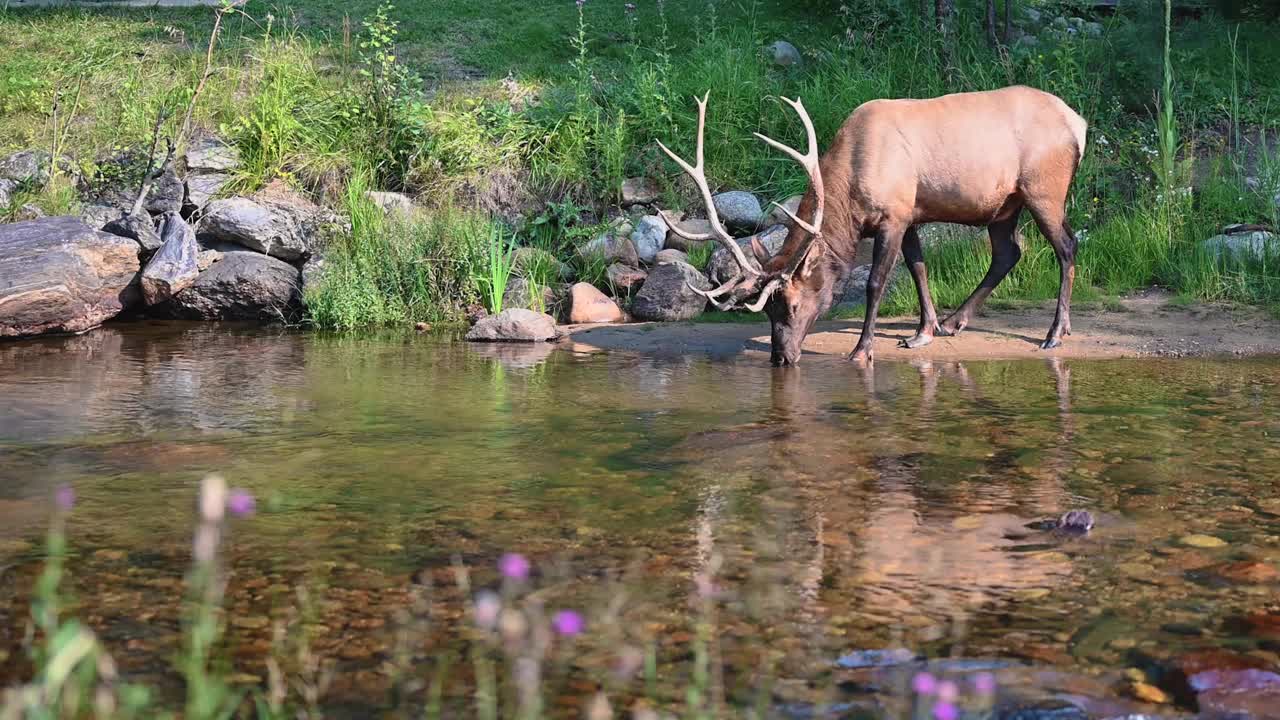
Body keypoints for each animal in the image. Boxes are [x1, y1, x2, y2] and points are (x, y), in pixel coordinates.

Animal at [660, 85, 1090, 363]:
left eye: (793, 305)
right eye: (767, 312)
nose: (781, 357)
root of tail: (1079, 124)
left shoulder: (893, 214)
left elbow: (876, 281)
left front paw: (862, 349)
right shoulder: (912, 213)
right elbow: (918, 268)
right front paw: (923, 332)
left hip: (1044, 189)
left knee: (1066, 245)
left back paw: (1055, 334)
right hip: (1004, 205)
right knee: (1008, 252)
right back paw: (955, 322)